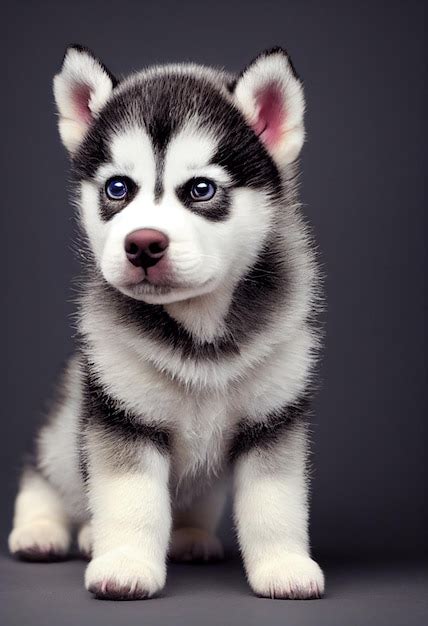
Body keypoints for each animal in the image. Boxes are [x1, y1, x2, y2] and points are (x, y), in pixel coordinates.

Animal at [9, 45, 324, 600]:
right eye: (118, 188)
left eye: (200, 189)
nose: (143, 244)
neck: (200, 333)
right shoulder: (122, 414)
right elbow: (131, 500)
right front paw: (126, 564)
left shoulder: (274, 417)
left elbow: (275, 503)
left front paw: (283, 566)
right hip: (65, 423)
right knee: (46, 475)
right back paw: (45, 531)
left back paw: (189, 537)